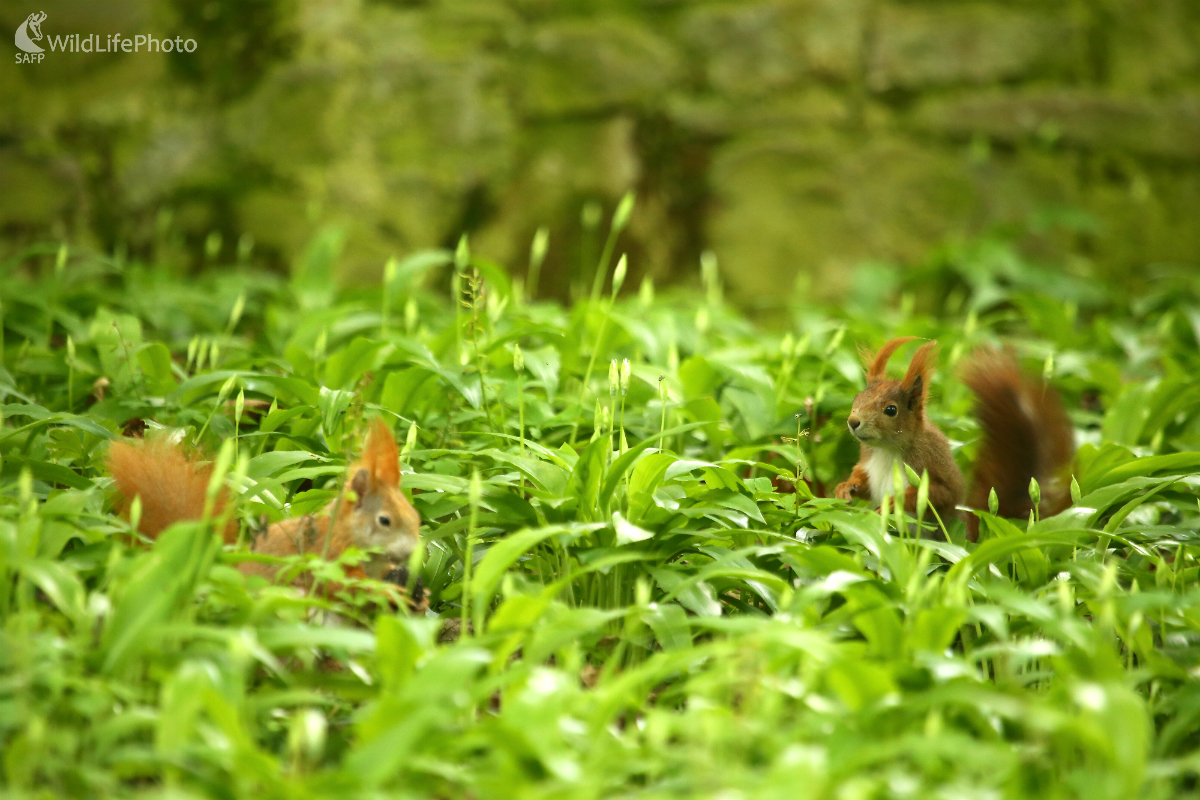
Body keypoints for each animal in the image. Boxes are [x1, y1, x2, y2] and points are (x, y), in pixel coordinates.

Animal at [835, 335, 1080, 542]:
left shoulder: (930, 461)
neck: (888, 450)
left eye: (891, 410)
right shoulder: (869, 460)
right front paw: (845, 487)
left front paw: (897, 501)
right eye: (858, 398)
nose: (853, 421)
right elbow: (864, 483)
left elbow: (942, 493)